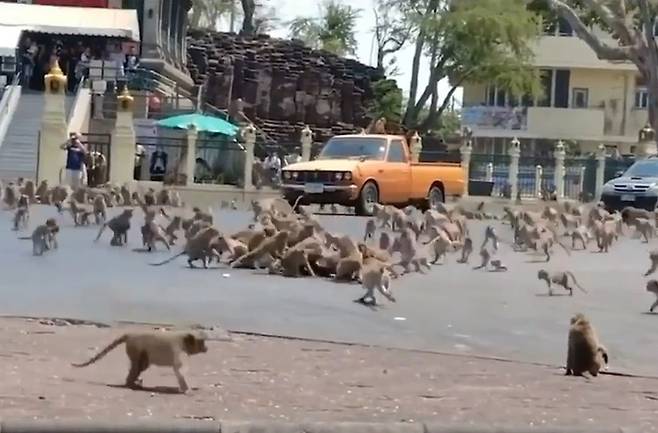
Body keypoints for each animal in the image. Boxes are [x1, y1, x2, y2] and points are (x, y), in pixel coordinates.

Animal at [71, 330, 206, 394]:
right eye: (202, 342)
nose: (206, 348)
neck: (185, 340)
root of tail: (130, 335)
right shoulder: (179, 350)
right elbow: (180, 369)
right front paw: (187, 390)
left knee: (141, 365)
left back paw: (133, 382)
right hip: (135, 347)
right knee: (137, 365)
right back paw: (131, 383)